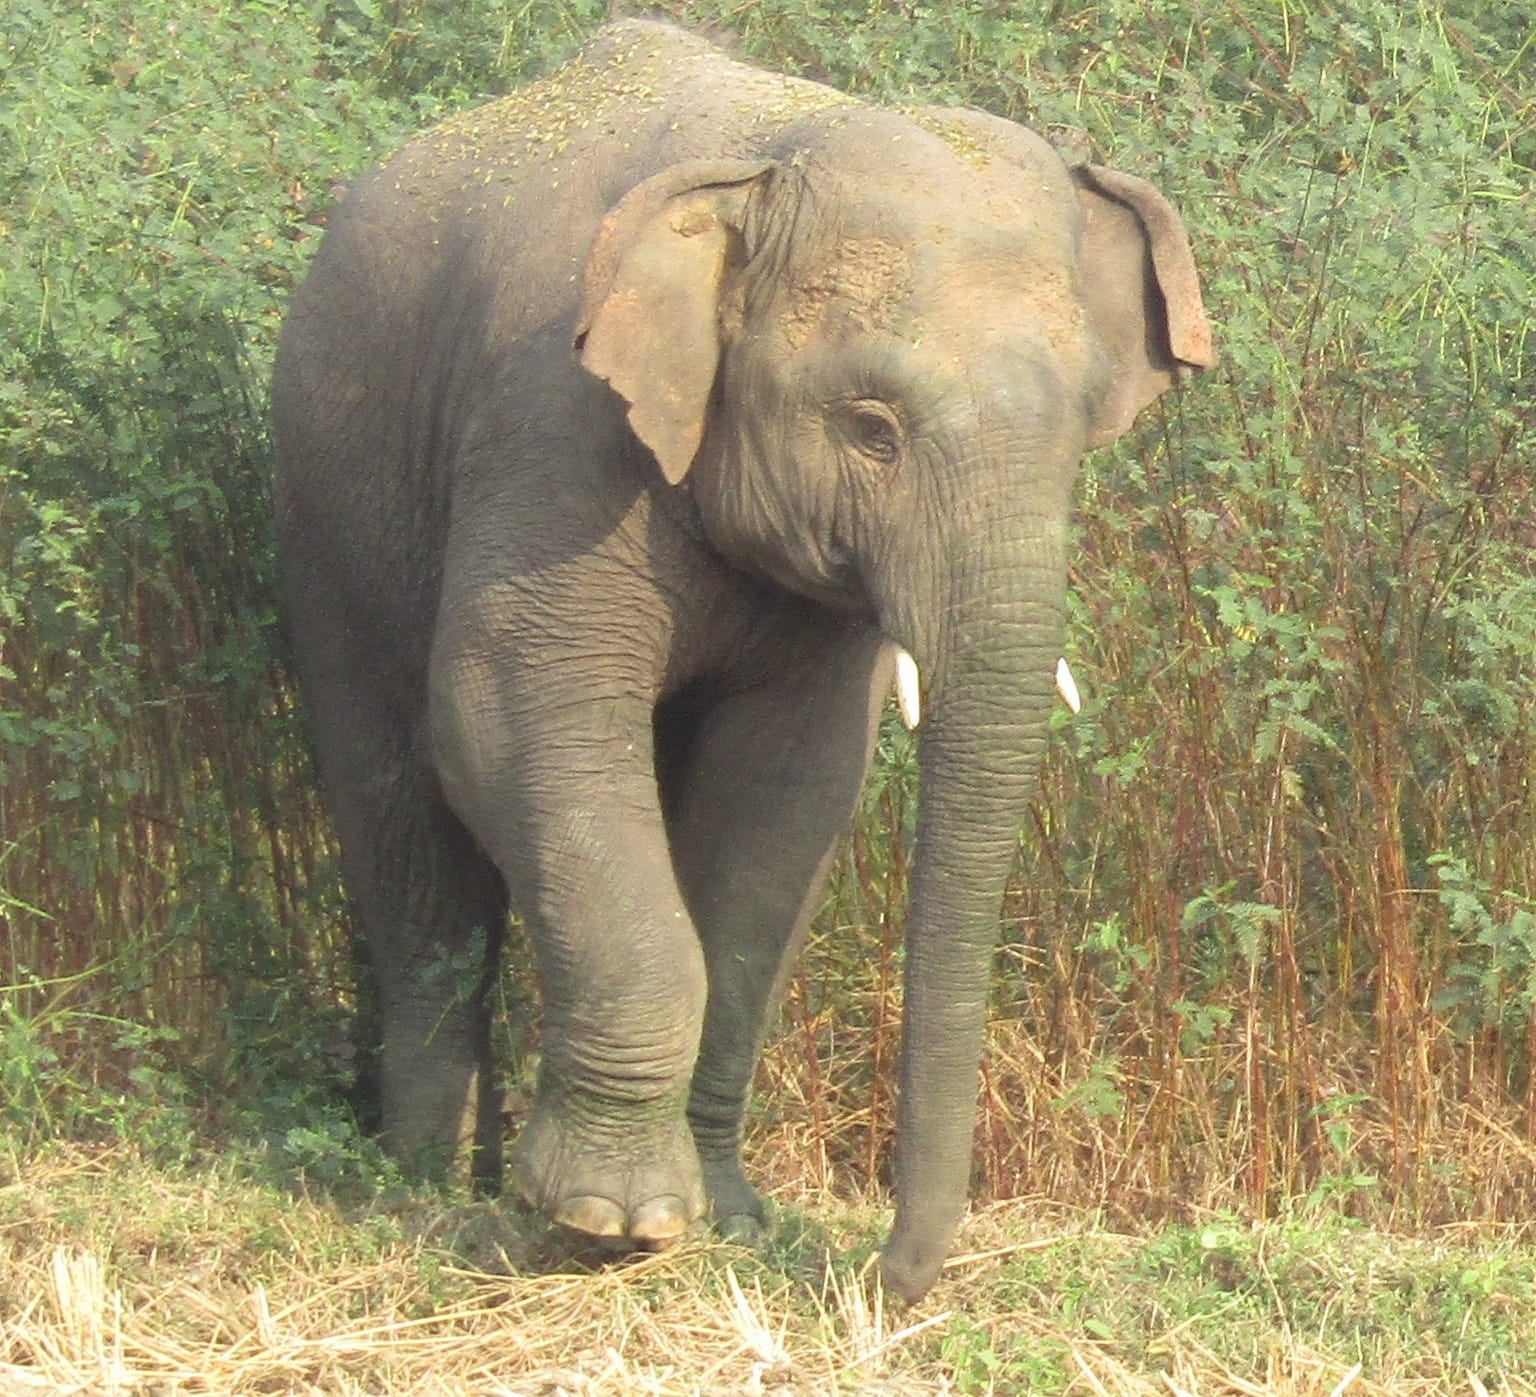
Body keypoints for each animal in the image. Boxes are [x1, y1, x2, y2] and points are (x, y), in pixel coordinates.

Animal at [271, 19, 1213, 1303]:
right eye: (870, 429)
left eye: (1082, 427)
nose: (881, 1278)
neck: (771, 159)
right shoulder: (553, 423)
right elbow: (508, 712)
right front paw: (604, 1223)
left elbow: (787, 789)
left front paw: (725, 1221)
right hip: (330, 511)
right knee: (402, 820)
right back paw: (423, 1181)